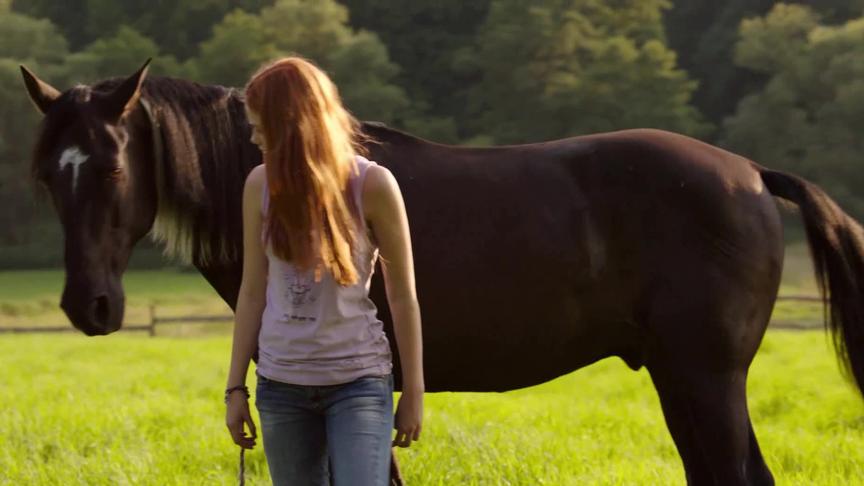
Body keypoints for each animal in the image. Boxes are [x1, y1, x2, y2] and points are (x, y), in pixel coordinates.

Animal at [20, 61, 864, 486]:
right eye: (48, 176)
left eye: (111, 166)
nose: (90, 305)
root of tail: (751, 174)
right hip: (682, 379)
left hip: (704, 379)